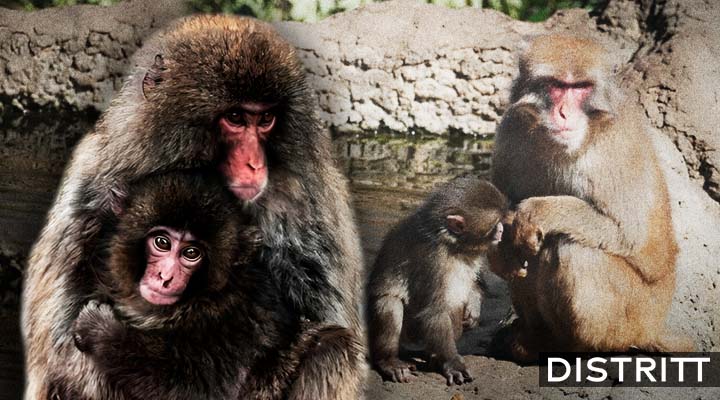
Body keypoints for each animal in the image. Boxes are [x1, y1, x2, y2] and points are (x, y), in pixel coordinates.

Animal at [22, 15, 365, 400]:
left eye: (265, 120)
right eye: (235, 117)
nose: (254, 165)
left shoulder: (305, 199)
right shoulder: (98, 178)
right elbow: (60, 332)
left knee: (330, 349)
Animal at [366, 176, 509, 385]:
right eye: (495, 225)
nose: (501, 231)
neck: (453, 245)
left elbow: (476, 282)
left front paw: (474, 306)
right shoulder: (433, 260)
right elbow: (434, 311)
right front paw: (452, 362)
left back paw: (433, 356)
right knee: (390, 302)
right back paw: (389, 360)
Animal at [488, 34, 693, 363]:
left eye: (580, 87)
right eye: (557, 85)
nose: (563, 112)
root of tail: (653, 327)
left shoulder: (615, 146)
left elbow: (626, 233)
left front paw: (536, 211)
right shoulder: (510, 127)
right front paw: (497, 248)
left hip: (633, 315)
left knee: (572, 248)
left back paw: (576, 347)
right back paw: (534, 339)